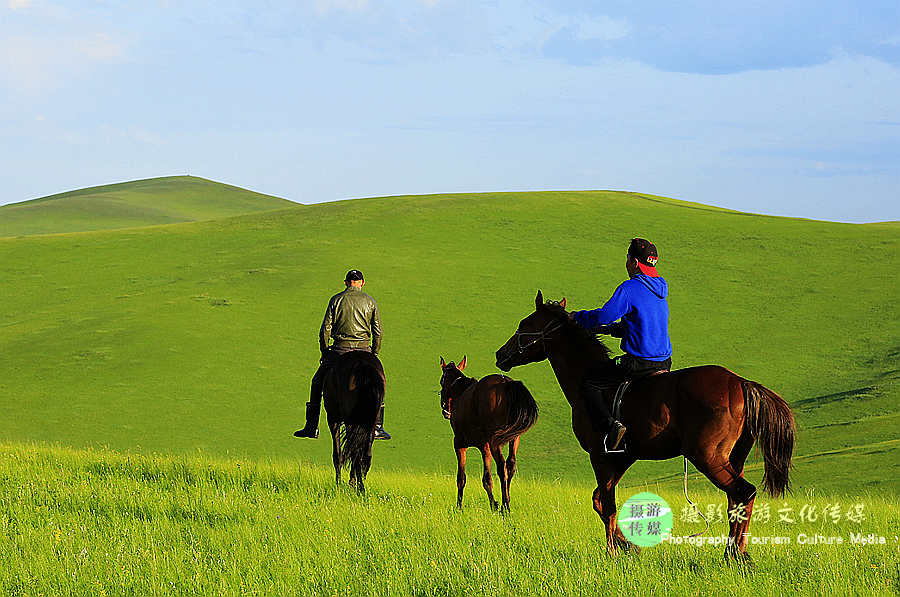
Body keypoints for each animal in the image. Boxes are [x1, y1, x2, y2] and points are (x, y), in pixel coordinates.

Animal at [324, 350, 384, 494]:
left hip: (349, 421)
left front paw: (338, 484)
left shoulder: (333, 419)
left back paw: (357, 486)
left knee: (355, 452)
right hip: (370, 423)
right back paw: (359, 485)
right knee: (365, 453)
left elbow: (338, 454)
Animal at [440, 356, 536, 510]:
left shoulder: (461, 444)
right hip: (514, 438)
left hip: (493, 441)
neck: (461, 391)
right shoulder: (485, 446)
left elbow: (464, 478)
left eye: (442, 380)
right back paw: (505, 501)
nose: (445, 410)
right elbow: (487, 478)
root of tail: (506, 383)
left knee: (502, 466)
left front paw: (459, 507)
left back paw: (505, 505)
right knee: (511, 464)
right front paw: (495, 504)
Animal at [492, 292, 796, 560]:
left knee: (743, 492)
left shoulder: (599, 456)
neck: (587, 377)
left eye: (524, 325)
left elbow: (607, 504)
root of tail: (740, 383)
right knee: (736, 499)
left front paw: (613, 552)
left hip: (708, 457)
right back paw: (737, 553)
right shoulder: (621, 458)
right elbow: (600, 500)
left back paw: (735, 555)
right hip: (733, 458)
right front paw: (626, 545)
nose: (499, 354)